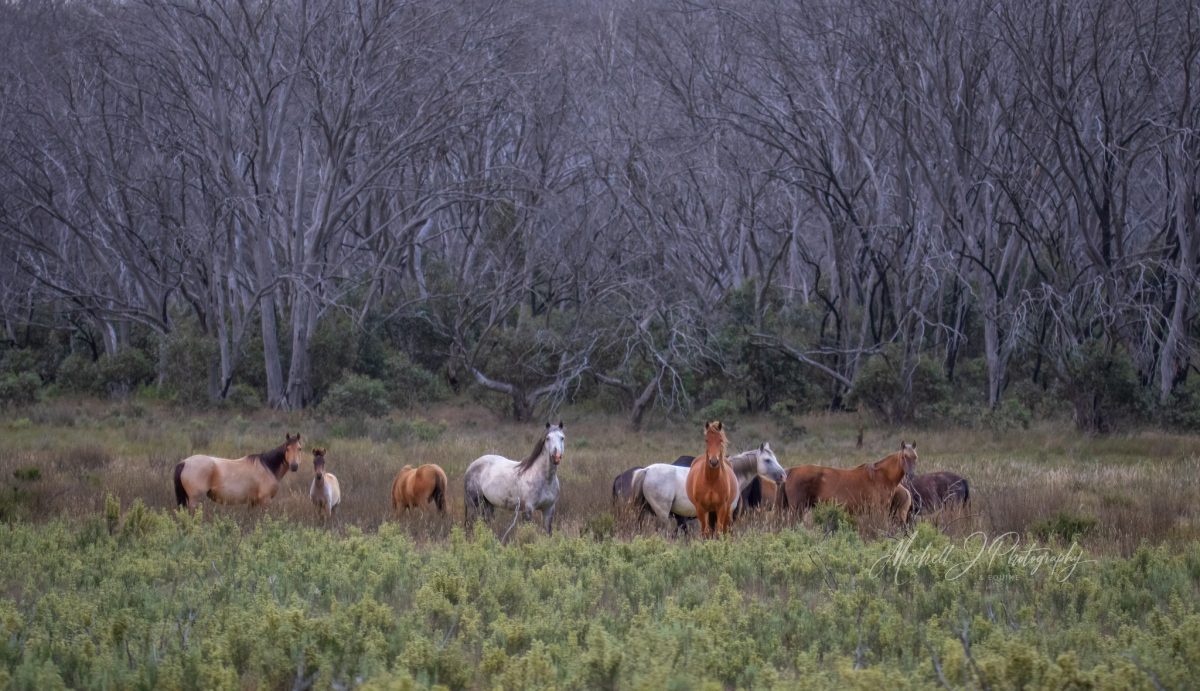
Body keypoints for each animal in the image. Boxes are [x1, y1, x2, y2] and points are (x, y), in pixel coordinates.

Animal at [174, 431, 304, 508]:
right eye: (287, 448)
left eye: (299, 448)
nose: (294, 466)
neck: (268, 467)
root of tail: (184, 462)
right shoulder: (265, 500)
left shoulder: (253, 503)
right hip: (194, 500)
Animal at [777, 439, 916, 525]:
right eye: (904, 456)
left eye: (915, 457)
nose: (911, 474)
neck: (881, 476)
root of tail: (791, 471)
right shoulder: (878, 510)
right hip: (797, 510)